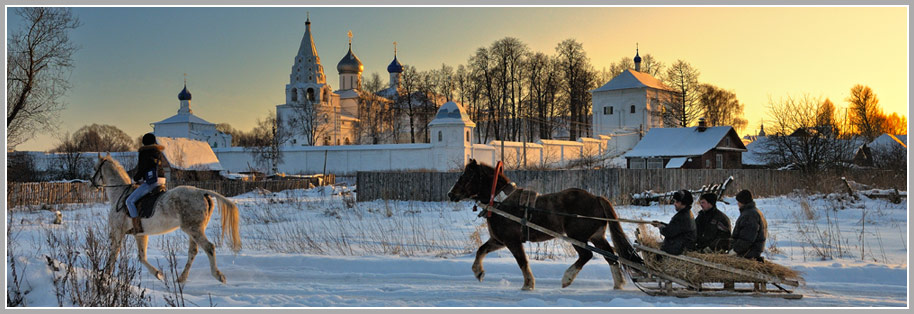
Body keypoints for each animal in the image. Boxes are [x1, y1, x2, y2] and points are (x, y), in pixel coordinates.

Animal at [91, 153, 240, 284]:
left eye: (94, 168)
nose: (91, 184)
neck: (120, 195)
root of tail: (202, 192)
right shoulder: (140, 234)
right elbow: (141, 257)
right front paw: (158, 274)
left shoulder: (118, 231)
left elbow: (113, 253)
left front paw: (106, 275)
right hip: (194, 230)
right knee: (193, 251)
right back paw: (181, 278)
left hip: (194, 230)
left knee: (209, 247)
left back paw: (218, 276)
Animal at [446, 161, 636, 290]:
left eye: (466, 176)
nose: (450, 194)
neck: (500, 202)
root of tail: (596, 198)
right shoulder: (499, 240)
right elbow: (481, 250)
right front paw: (478, 272)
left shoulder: (512, 241)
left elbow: (522, 261)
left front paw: (528, 284)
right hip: (597, 236)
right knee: (611, 256)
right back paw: (618, 283)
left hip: (577, 236)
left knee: (586, 255)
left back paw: (567, 278)